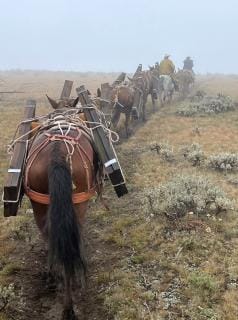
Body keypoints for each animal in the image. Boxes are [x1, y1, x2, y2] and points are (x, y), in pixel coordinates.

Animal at [23, 97, 102, 318]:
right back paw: (69, 304)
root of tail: (57, 151)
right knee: (71, 239)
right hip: (79, 203)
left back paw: (52, 278)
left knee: (48, 235)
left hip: (39, 203)